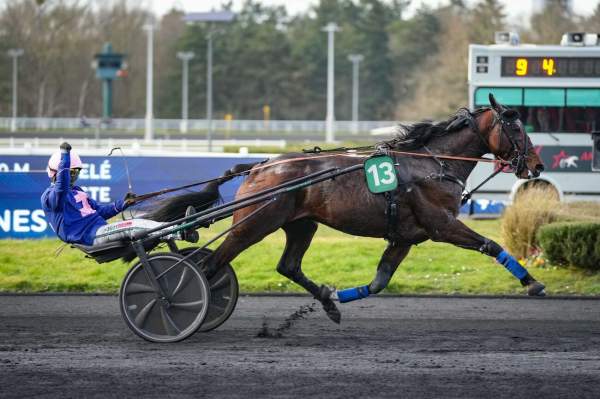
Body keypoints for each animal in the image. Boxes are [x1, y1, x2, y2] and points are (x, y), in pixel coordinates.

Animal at [146, 95, 544, 324]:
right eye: (516, 129)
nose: (537, 166)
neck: (432, 164)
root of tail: (260, 166)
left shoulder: (404, 237)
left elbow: (379, 282)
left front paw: (336, 296)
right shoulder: (441, 225)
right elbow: (491, 245)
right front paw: (533, 283)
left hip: (302, 224)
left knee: (286, 266)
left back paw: (328, 303)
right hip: (254, 223)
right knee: (208, 265)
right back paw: (178, 306)